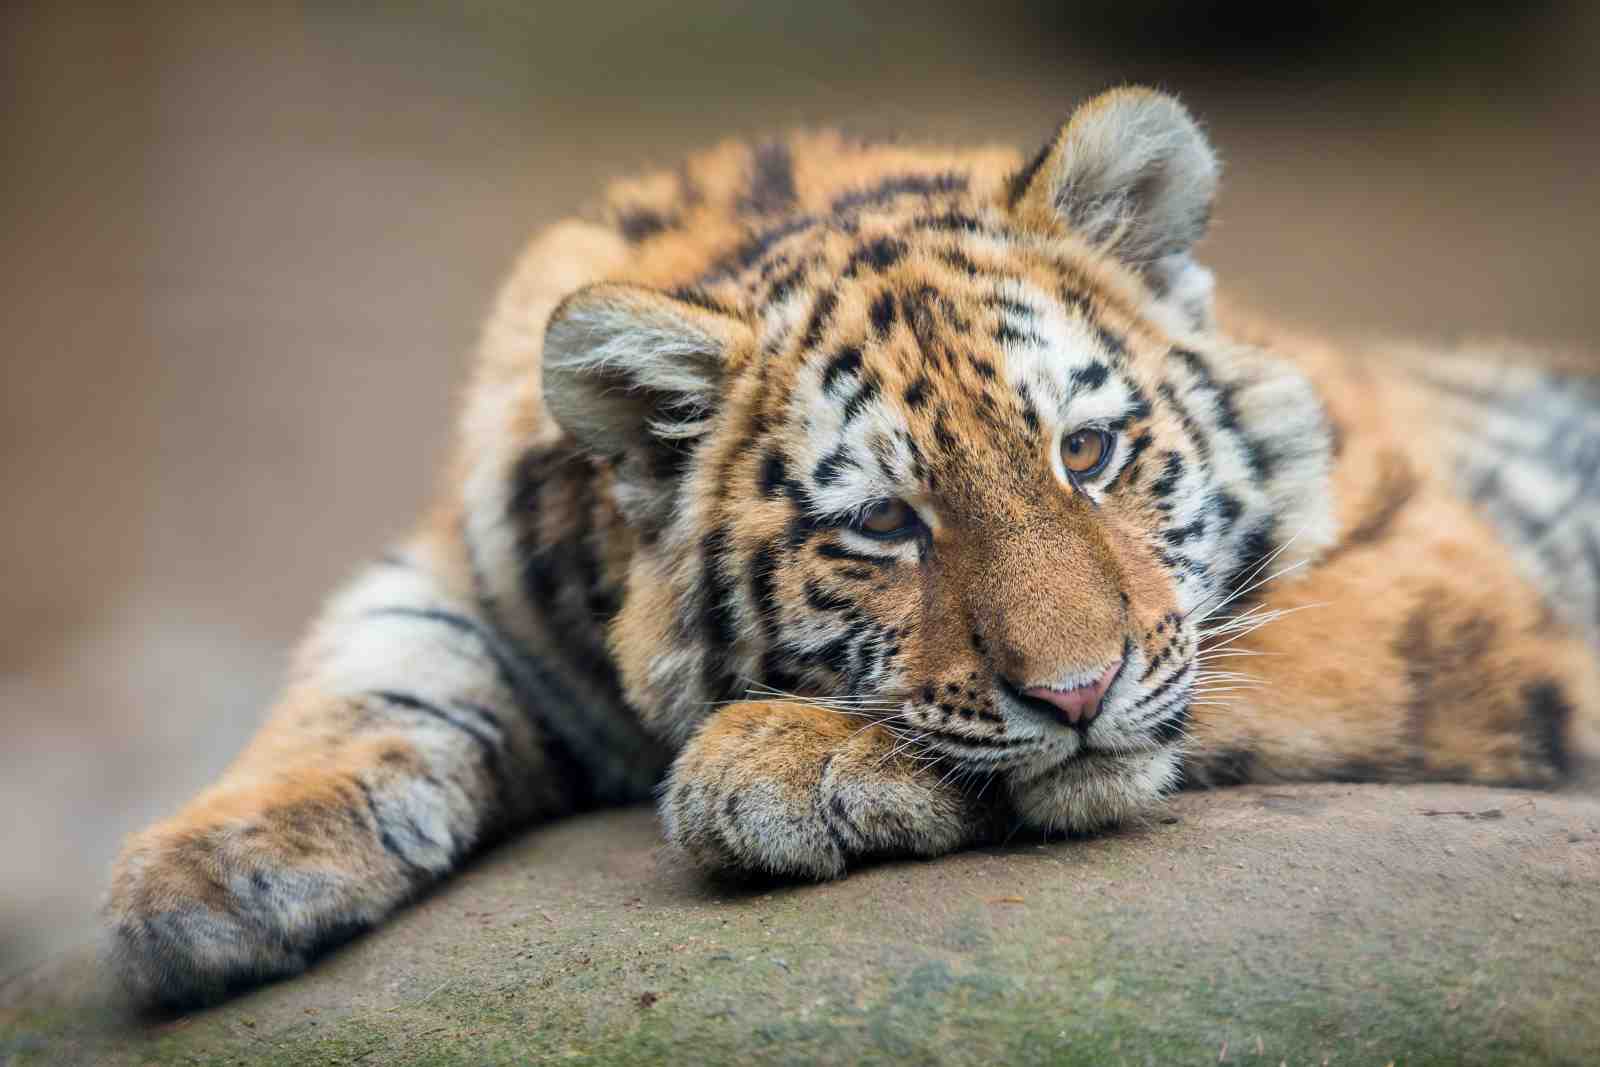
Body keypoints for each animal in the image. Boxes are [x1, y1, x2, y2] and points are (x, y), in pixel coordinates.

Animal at [104, 87, 1600, 1009]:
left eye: (1087, 451)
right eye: (884, 523)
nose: (1078, 692)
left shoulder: (1437, 577)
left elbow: (1225, 665)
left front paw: (783, 761)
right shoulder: (468, 572)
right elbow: (374, 666)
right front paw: (208, 872)